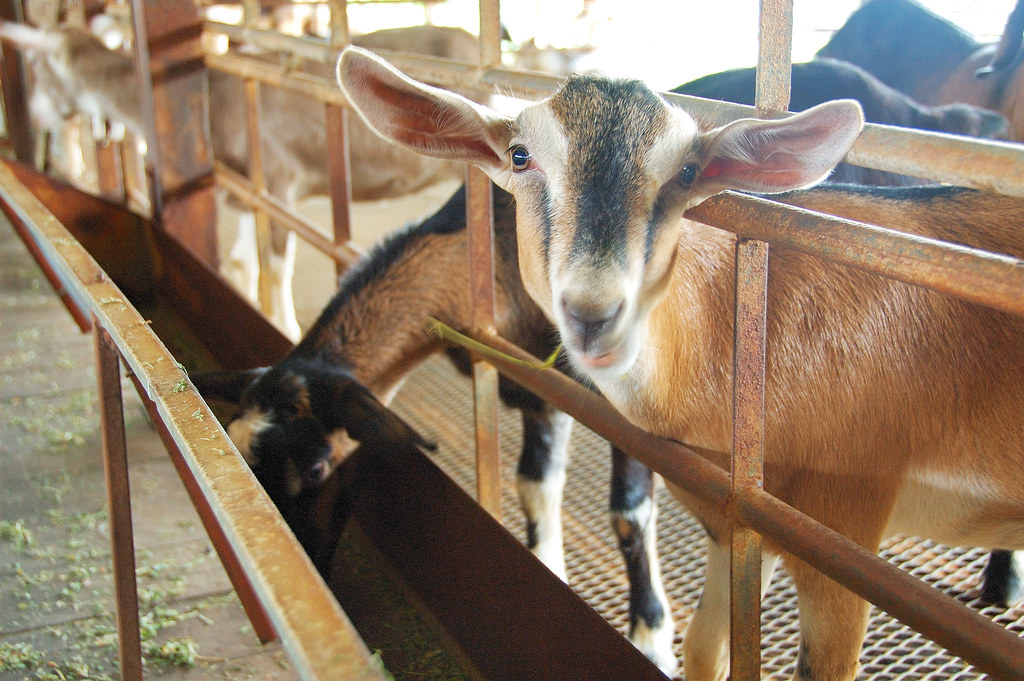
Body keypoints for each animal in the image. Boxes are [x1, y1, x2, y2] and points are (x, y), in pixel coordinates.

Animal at [337, 47, 1024, 679]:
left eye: (689, 171)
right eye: (520, 156)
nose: (593, 313)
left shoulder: (843, 535)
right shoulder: (742, 531)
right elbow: (705, 650)